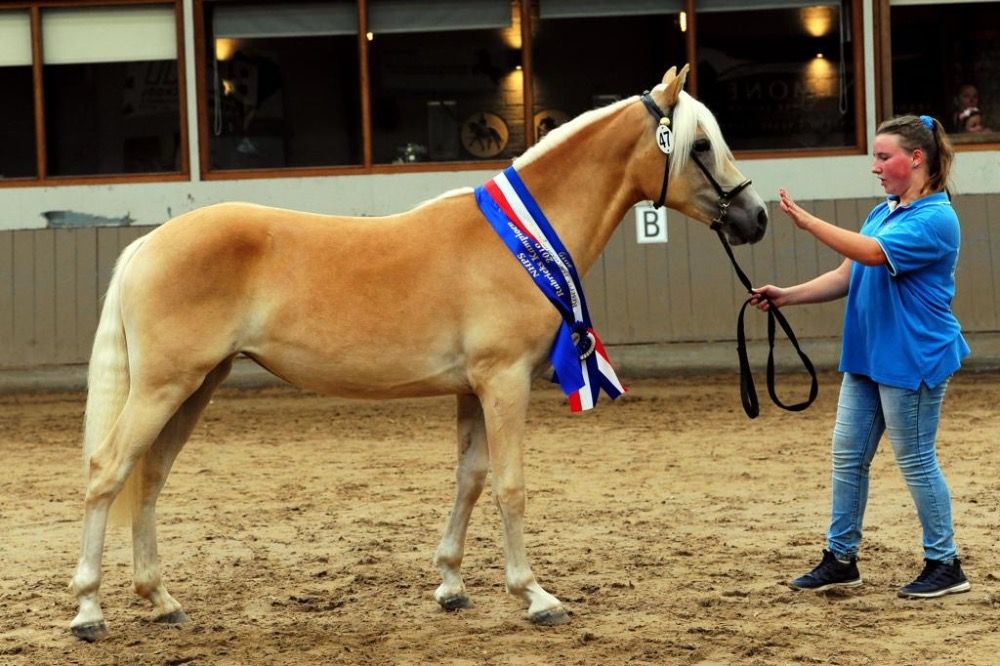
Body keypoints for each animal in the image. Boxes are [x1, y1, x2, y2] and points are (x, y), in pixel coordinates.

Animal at [69, 65, 767, 641]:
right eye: (699, 146)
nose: (756, 218)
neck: (518, 241)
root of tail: (150, 243)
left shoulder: (473, 389)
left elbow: (470, 479)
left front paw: (451, 584)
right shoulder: (504, 381)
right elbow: (511, 485)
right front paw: (535, 595)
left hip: (196, 384)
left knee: (149, 477)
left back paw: (162, 601)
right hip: (165, 385)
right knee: (108, 471)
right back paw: (89, 610)